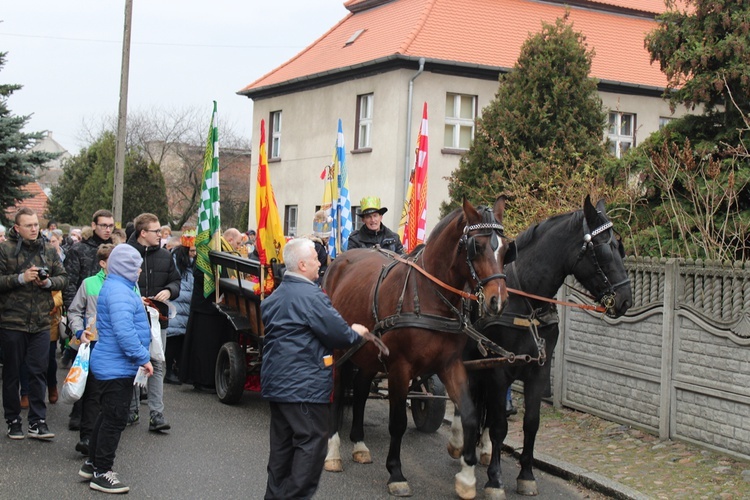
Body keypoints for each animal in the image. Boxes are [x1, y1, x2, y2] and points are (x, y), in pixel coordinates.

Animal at [324, 197, 516, 498]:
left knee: (360, 392)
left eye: (506, 249)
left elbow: (470, 415)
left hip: (367, 355)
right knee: (336, 392)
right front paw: (396, 474)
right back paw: (333, 453)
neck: (429, 296)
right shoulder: (399, 368)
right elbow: (398, 422)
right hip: (339, 352)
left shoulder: (450, 365)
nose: (498, 301)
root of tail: (339, 261)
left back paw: (359, 444)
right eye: (478, 246)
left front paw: (467, 478)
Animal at [446, 196, 636, 500]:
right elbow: (499, 425)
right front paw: (495, 480)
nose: (625, 300)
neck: (527, 302)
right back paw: (459, 443)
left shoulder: (538, 370)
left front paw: (526, 475)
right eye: (604, 251)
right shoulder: (500, 369)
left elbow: (531, 423)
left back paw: (481, 449)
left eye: (620, 248)